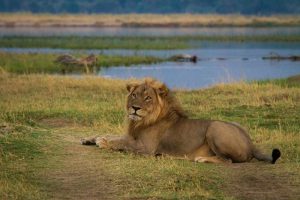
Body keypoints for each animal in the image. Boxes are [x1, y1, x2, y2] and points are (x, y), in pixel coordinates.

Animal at [80, 78, 282, 164]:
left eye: (148, 98)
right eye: (134, 95)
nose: (135, 108)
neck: (139, 121)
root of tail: (251, 144)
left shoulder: (146, 148)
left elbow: (121, 143)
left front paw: (103, 142)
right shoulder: (133, 136)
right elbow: (113, 135)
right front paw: (89, 138)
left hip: (215, 127)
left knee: (228, 161)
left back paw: (202, 158)